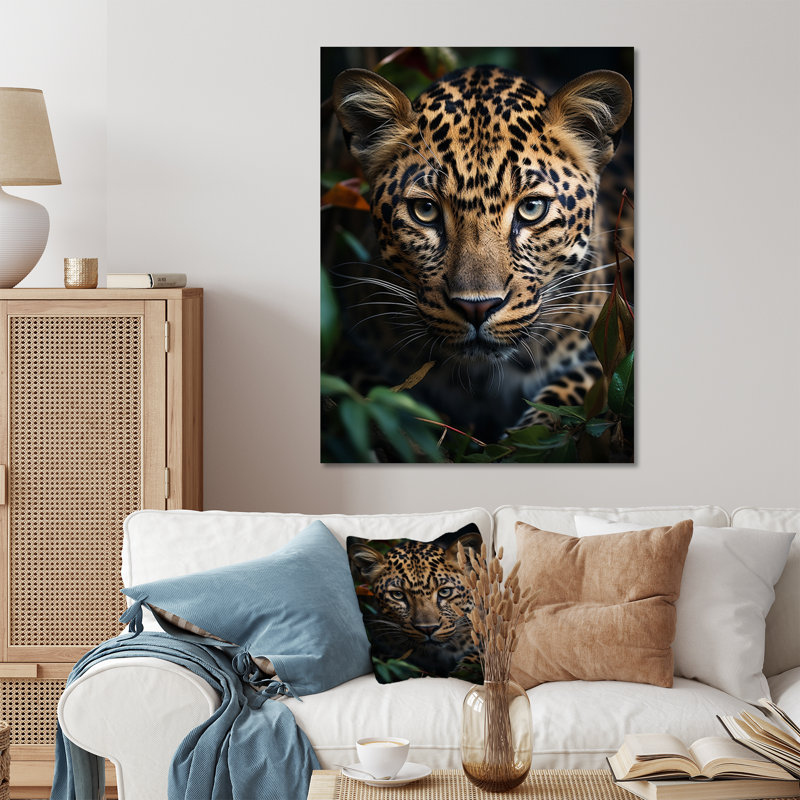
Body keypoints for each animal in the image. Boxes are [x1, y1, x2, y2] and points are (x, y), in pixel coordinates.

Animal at [329, 64, 633, 443]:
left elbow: (568, 398)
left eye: (532, 208)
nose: (477, 307)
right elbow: (370, 398)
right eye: (425, 211)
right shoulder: (348, 352)